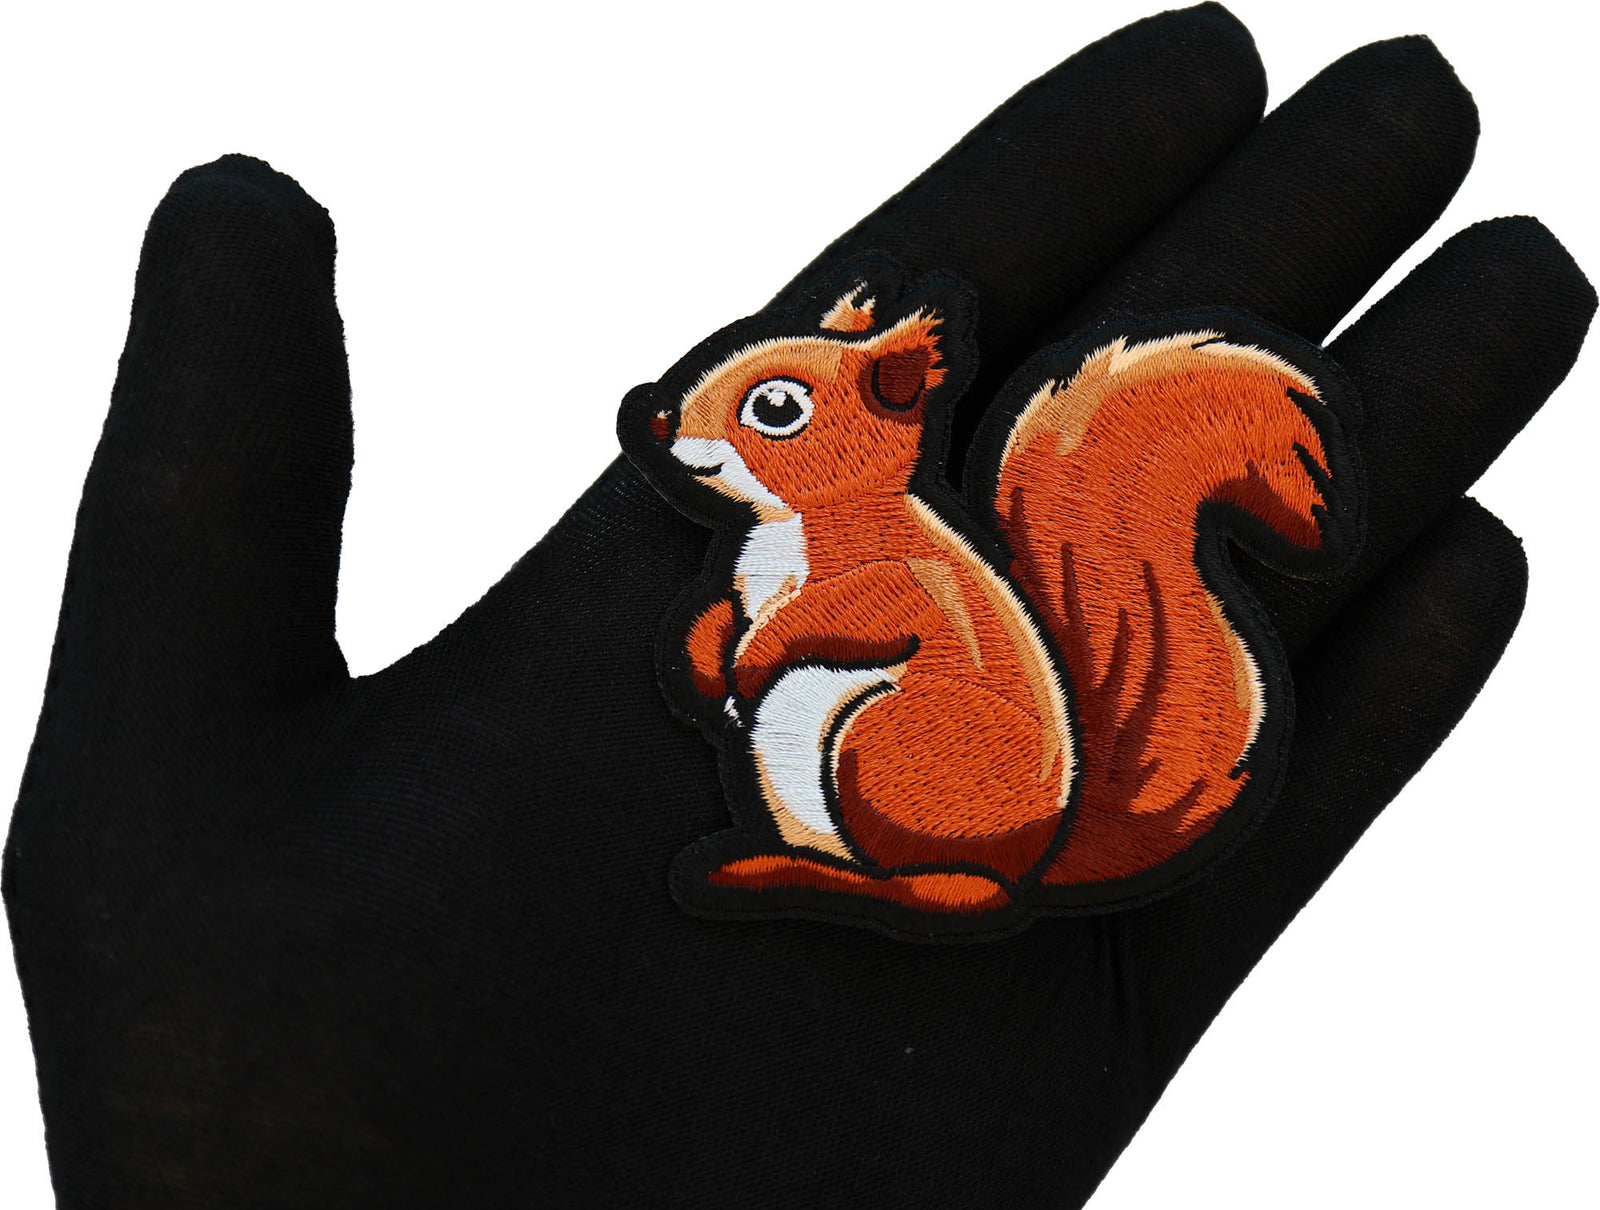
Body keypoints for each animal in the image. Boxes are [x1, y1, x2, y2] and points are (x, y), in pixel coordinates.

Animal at [620, 264, 1358, 937]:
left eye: (776, 408)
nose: (651, 418)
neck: (794, 525)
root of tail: (1040, 862)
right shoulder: (747, 584)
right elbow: (720, 614)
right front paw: (710, 668)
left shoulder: (908, 580)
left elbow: (841, 613)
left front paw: (750, 663)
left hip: (885, 742)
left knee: (953, 892)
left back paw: (796, 874)